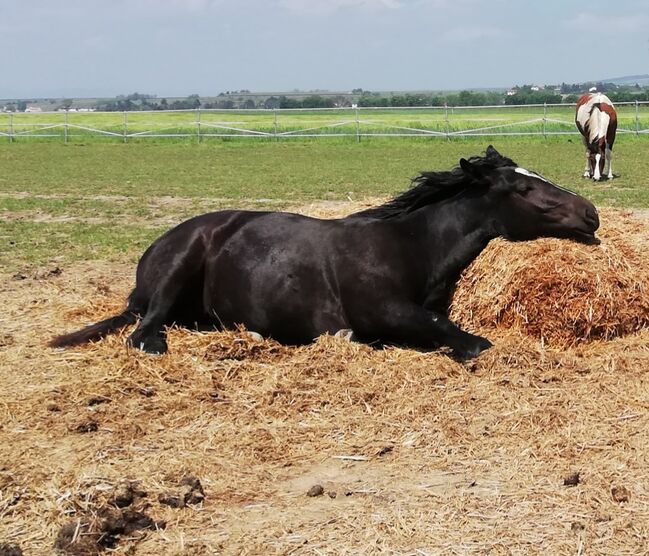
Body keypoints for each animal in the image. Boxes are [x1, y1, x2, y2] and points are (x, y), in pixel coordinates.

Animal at [48, 146, 600, 358]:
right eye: (523, 189)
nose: (591, 214)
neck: (409, 247)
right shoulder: (388, 311)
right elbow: (468, 342)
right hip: (179, 263)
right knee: (143, 331)